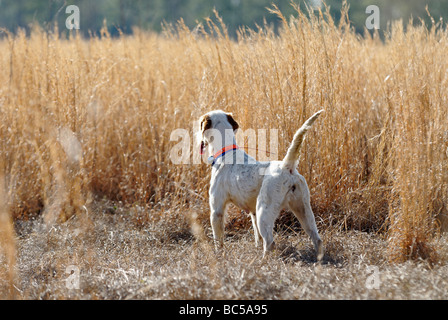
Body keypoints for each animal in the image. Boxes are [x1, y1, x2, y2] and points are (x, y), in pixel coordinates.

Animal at [199, 110, 322, 260]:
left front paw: (219, 255)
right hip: (303, 210)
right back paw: (319, 259)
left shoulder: (217, 210)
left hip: (264, 212)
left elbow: (218, 239)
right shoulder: (253, 212)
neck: (226, 153)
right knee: (317, 239)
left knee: (270, 242)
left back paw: (262, 261)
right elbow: (257, 237)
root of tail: (287, 166)